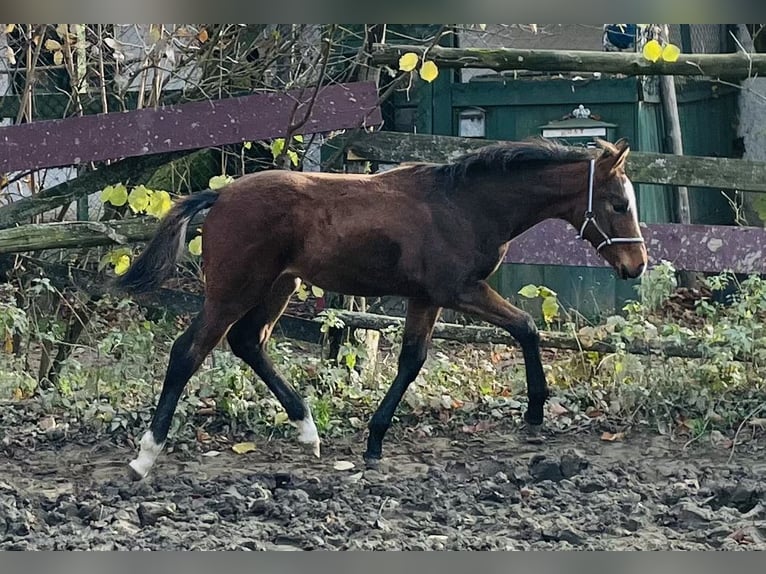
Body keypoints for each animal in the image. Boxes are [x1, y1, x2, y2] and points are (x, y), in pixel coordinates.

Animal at [117, 138, 648, 482]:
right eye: (619, 204)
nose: (636, 265)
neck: (465, 205)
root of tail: (221, 194)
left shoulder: (427, 298)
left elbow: (417, 358)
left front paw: (374, 442)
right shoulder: (457, 291)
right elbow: (524, 327)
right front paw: (535, 414)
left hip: (278, 286)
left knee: (249, 342)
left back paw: (308, 432)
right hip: (232, 290)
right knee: (189, 351)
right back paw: (145, 456)